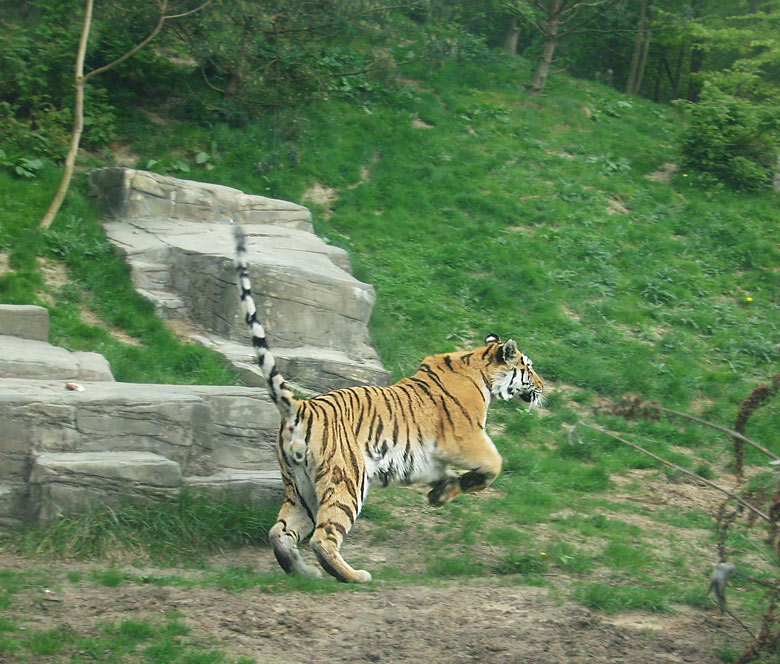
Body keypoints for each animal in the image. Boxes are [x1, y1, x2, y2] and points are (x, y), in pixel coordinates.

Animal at [235, 227, 544, 580]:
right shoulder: (467, 438)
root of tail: (301, 407)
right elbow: (495, 464)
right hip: (347, 480)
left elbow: (448, 476)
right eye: (529, 367)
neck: (477, 365)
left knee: (280, 532)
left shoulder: (423, 459)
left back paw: (304, 573)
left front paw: (440, 495)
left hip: (301, 488)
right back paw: (353, 576)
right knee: (323, 538)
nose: (543, 386)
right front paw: (459, 486)